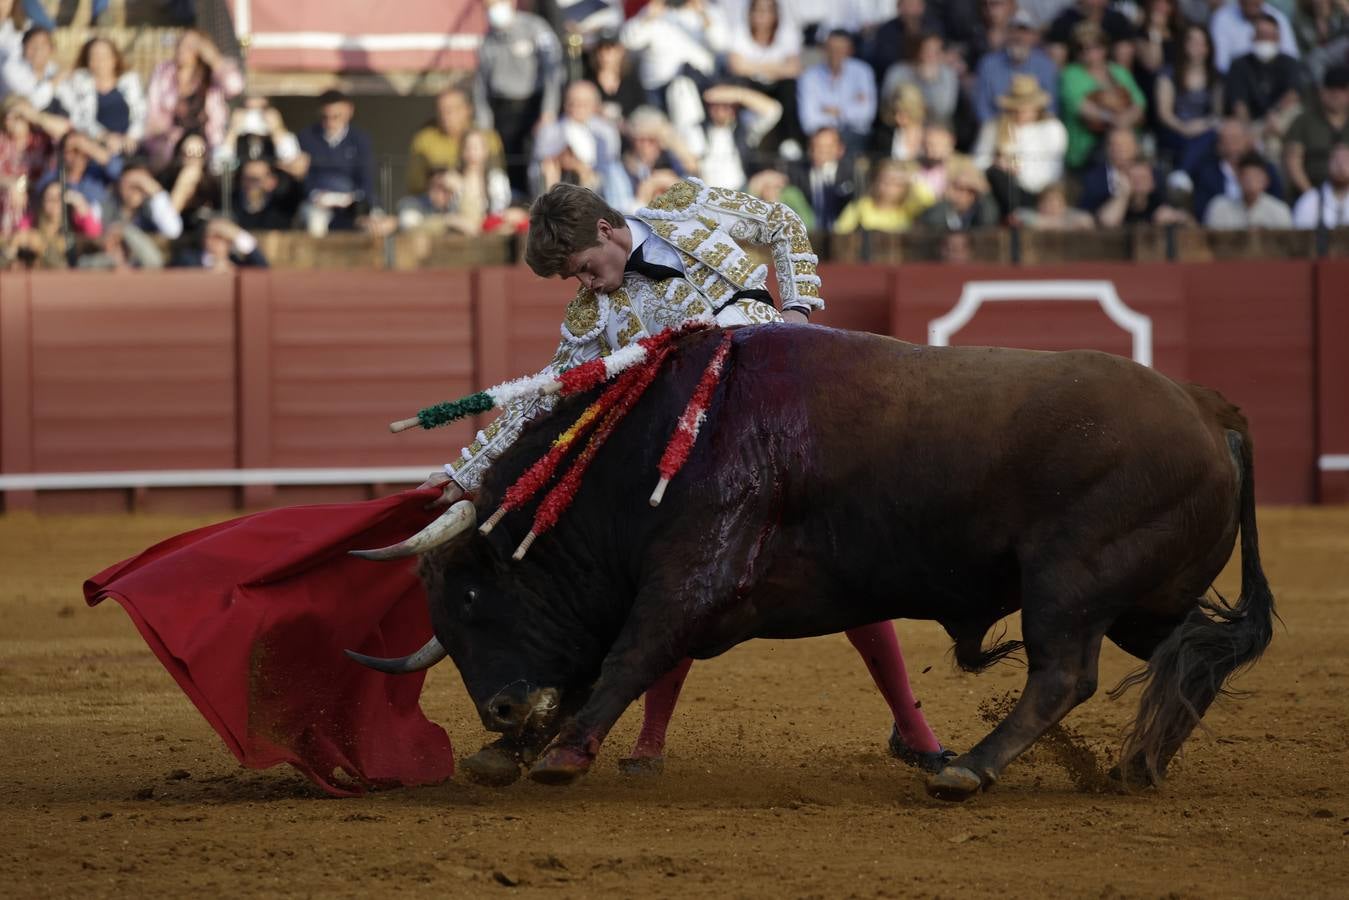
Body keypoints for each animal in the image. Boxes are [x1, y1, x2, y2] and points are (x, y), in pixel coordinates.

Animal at [348, 325, 1273, 804]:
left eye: (475, 592)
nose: (501, 708)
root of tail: (1208, 410)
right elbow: (609, 661)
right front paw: (510, 750)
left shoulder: (693, 572)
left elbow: (628, 656)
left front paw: (562, 754)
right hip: (1144, 598)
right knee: (1189, 656)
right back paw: (1138, 764)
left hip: (1070, 583)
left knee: (1063, 675)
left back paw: (968, 769)